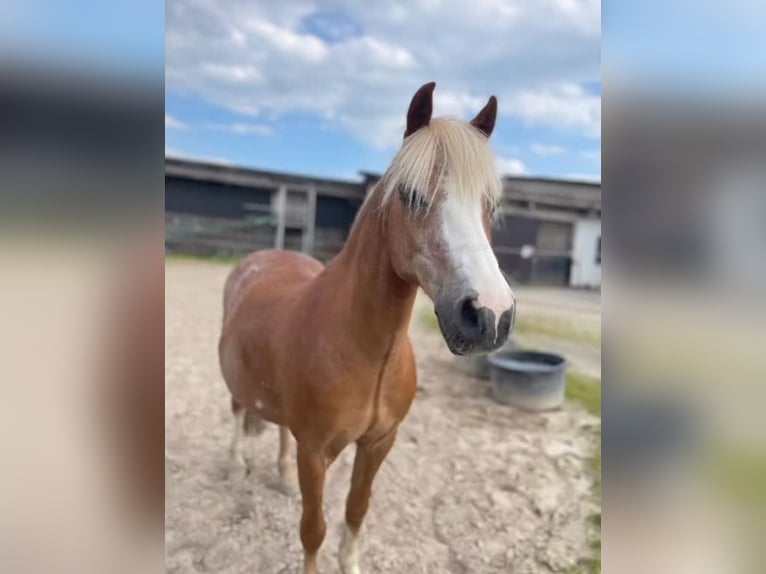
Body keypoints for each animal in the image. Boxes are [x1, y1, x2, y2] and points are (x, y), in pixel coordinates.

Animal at [219, 82, 516, 574]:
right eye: (410, 195)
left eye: (489, 204)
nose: (490, 315)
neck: (365, 351)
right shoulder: (315, 451)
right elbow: (314, 529)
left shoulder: (378, 443)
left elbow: (356, 512)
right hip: (238, 386)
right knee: (240, 412)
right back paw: (236, 464)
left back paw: (281, 478)